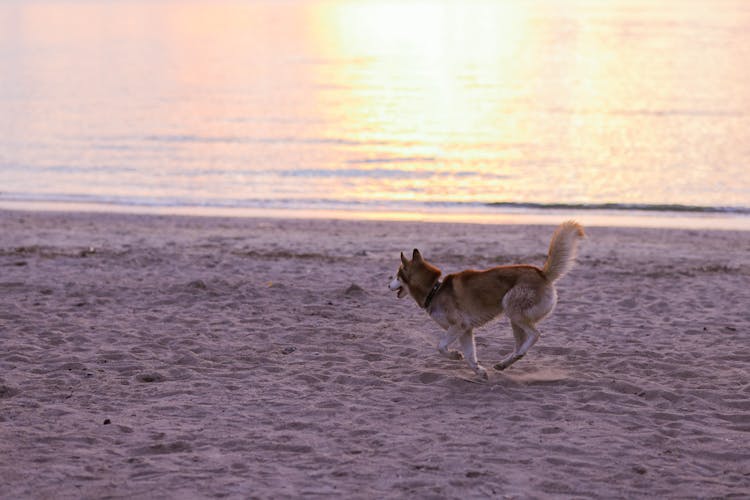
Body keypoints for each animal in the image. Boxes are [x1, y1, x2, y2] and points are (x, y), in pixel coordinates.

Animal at [388, 221, 588, 376]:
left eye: (397, 275)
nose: (387, 284)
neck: (435, 289)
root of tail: (542, 273)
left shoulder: (458, 326)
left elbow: (441, 346)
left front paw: (455, 356)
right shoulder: (465, 330)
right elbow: (470, 356)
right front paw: (479, 371)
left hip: (511, 307)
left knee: (535, 335)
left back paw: (516, 355)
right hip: (514, 319)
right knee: (520, 346)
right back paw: (504, 364)